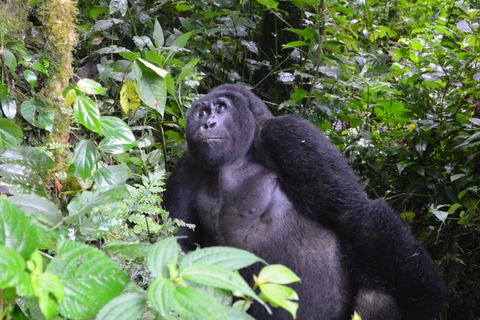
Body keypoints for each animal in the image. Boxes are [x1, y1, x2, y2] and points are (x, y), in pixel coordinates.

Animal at [164, 84, 446, 320]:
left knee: (377, 293)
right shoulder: (186, 167)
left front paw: (424, 302)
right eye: (201, 113)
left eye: (221, 108)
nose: (208, 124)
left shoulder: (290, 135)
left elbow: (354, 215)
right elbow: (178, 244)